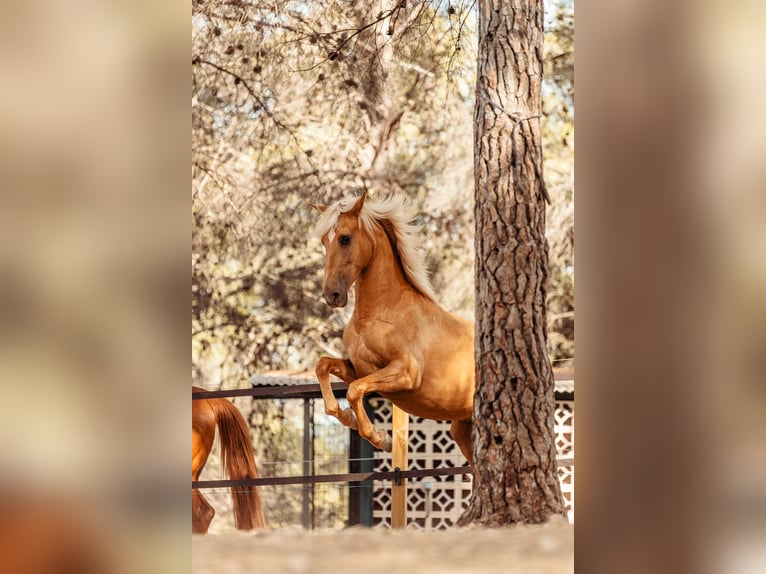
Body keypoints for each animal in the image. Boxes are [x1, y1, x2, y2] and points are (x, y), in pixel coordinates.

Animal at [312, 196, 474, 466]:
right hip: (463, 430)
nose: (332, 294)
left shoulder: (406, 372)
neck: (381, 313)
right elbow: (323, 366)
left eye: (345, 238)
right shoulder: (360, 368)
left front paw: (381, 438)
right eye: (325, 240)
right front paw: (346, 416)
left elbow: (355, 391)